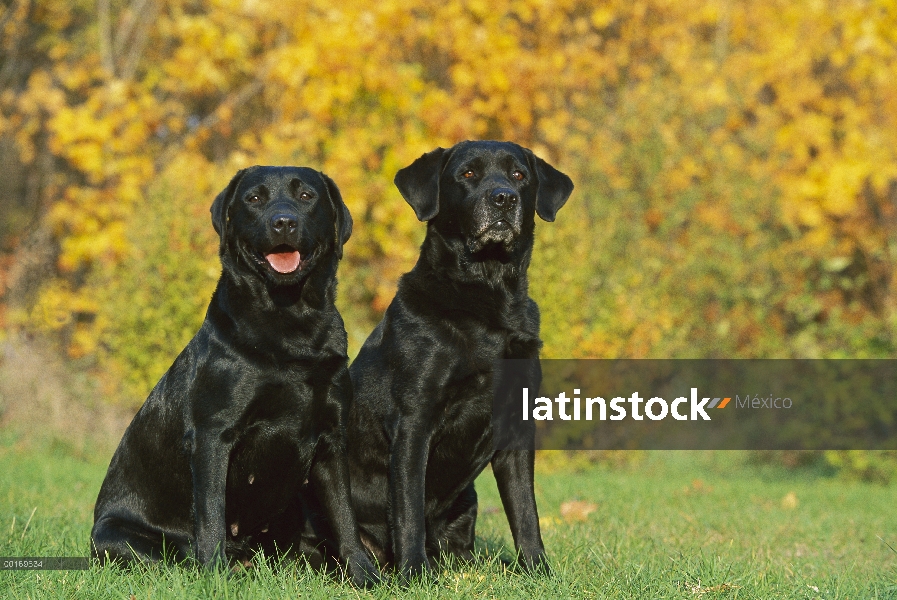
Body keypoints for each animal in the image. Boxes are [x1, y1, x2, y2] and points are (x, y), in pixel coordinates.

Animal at [93, 166, 378, 588]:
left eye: (306, 196)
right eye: (254, 199)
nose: (283, 222)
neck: (291, 324)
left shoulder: (331, 438)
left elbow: (344, 515)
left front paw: (364, 574)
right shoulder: (214, 434)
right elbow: (211, 513)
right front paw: (214, 574)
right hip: (114, 535)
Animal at [344, 141, 576, 576]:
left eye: (519, 175)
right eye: (467, 174)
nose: (503, 198)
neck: (487, 298)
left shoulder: (518, 425)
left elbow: (526, 510)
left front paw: (539, 572)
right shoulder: (414, 420)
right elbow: (409, 509)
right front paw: (413, 575)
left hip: (466, 500)